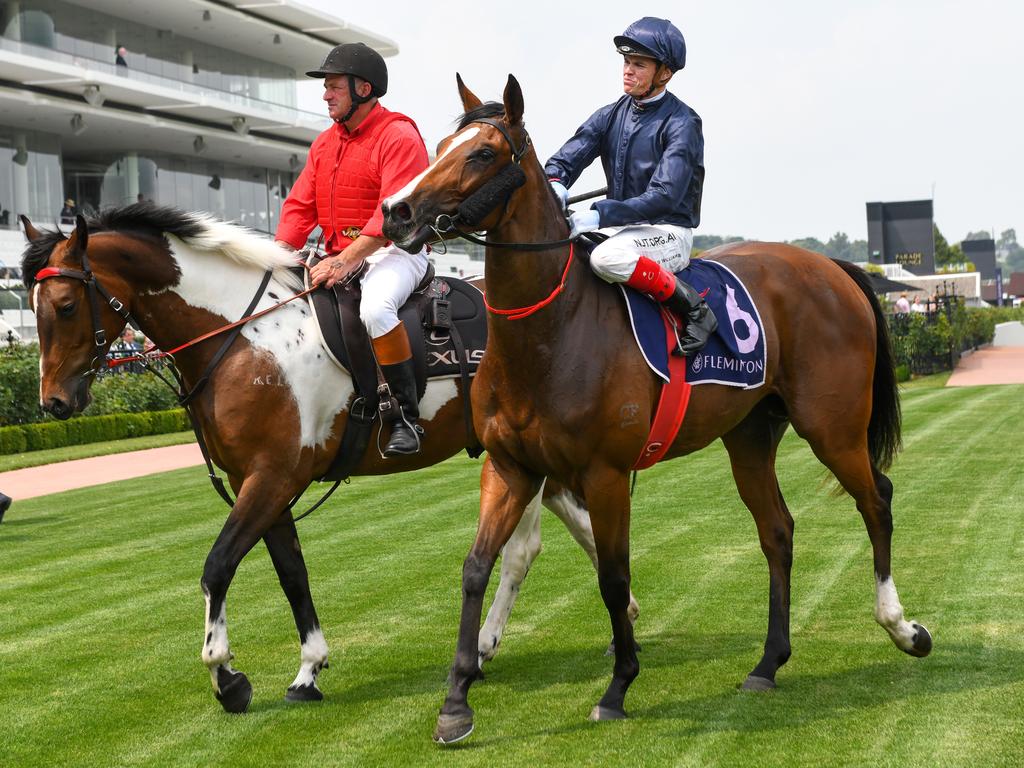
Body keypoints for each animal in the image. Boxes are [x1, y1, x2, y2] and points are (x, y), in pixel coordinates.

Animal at [19, 202, 630, 716]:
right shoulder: (262, 480)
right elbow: (292, 573)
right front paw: (308, 669)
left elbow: (217, 566)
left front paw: (226, 676)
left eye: (66, 306)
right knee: (577, 528)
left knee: (523, 550)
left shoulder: (270, 478)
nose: (53, 403)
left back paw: (485, 648)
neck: (248, 339)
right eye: (32, 305)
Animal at [380, 75, 933, 741]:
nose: (396, 211)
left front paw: (618, 687)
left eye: (483, 153)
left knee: (877, 500)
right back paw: (768, 663)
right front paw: (457, 699)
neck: (551, 333)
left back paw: (903, 627)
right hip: (750, 436)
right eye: (440, 146)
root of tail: (835, 268)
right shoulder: (510, 467)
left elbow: (613, 578)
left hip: (834, 428)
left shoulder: (606, 473)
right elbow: (475, 566)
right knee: (778, 530)